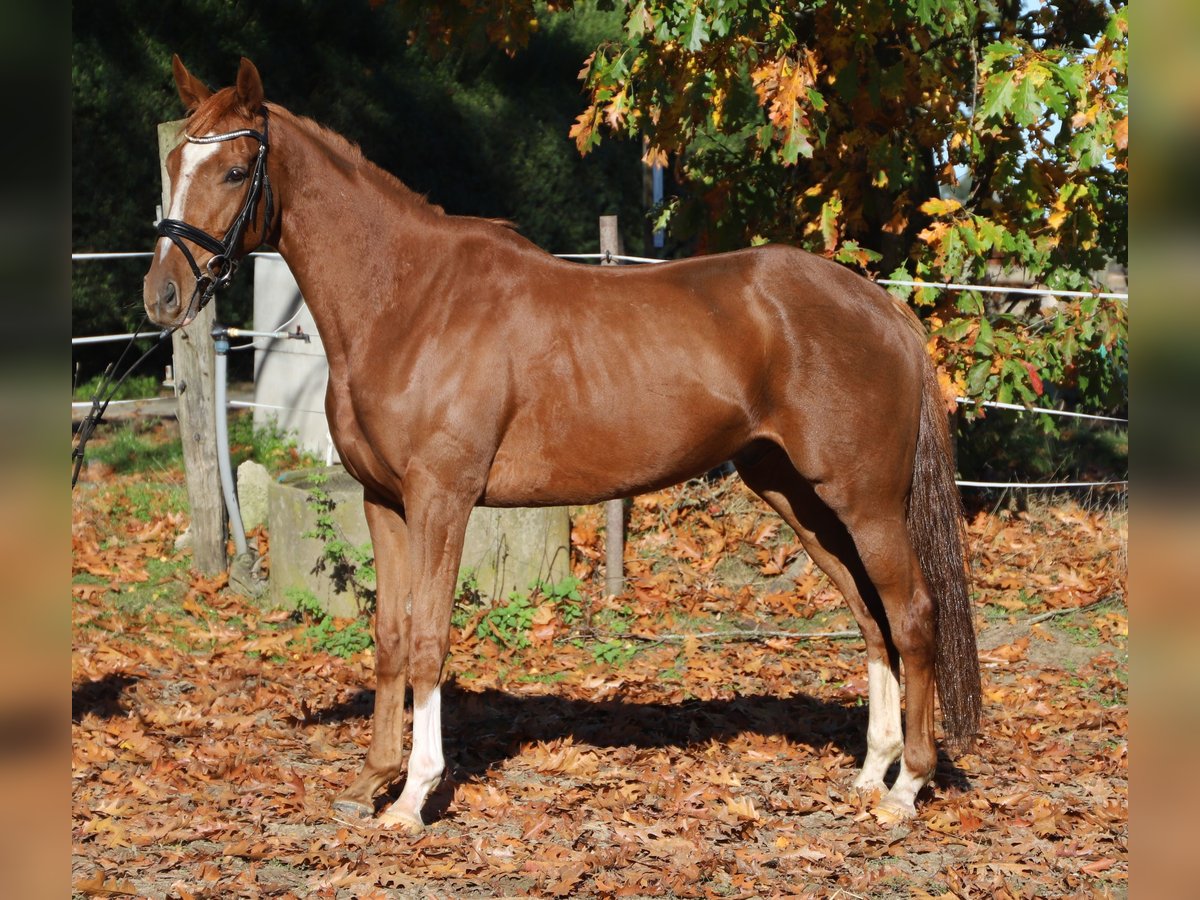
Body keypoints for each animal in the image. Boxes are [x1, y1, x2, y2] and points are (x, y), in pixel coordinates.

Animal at [143, 56, 980, 831]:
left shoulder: (442, 499)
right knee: (870, 616)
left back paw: (908, 786)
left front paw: (413, 797)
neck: (409, 302)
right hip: (796, 495)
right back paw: (871, 772)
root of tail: (880, 305)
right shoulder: (383, 501)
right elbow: (389, 634)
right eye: (173, 166)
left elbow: (428, 637)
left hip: (866, 502)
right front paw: (372, 779)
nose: (162, 297)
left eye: (235, 168)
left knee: (913, 614)